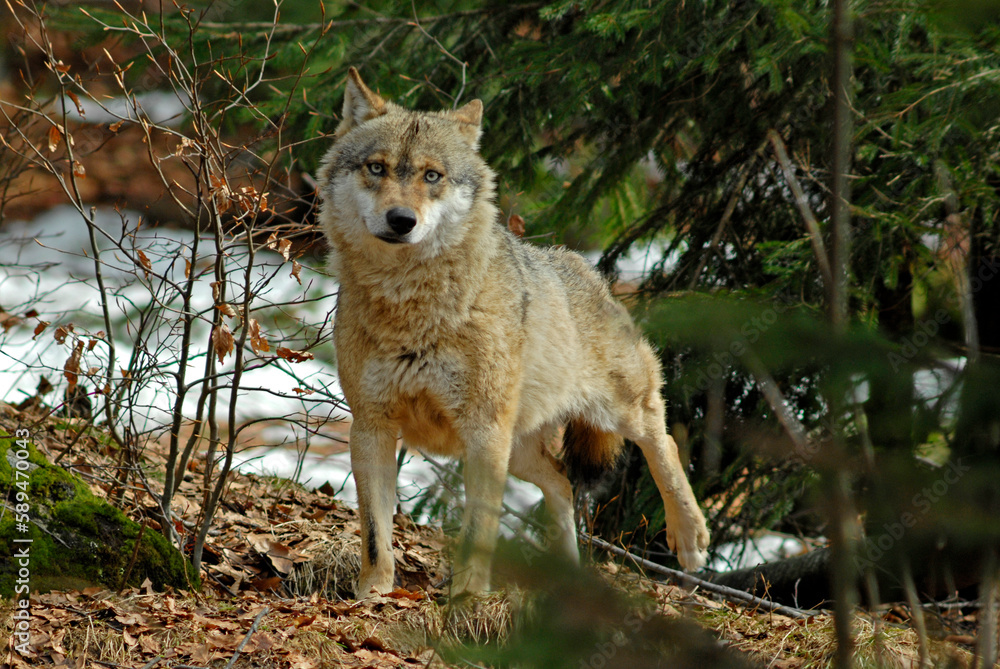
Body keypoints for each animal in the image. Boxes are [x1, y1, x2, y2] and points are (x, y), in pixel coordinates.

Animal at [317, 68, 710, 598]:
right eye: (376, 168)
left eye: (432, 176)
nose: (401, 220)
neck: (410, 305)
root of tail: (584, 268)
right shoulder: (371, 427)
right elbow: (377, 533)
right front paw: (372, 596)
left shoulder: (484, 432)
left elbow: (478, 527)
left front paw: (466, 598)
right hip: (520, 449)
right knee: (562, 483)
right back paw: (567, 576)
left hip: (613, 412)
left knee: (663, 443)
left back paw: (689, 538)